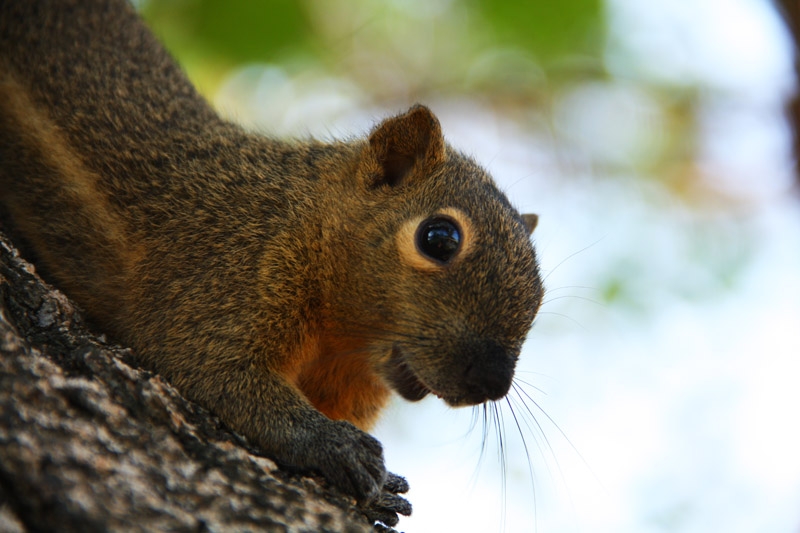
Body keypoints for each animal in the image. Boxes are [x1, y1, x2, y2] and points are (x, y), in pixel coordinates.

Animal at [0, 0, 544, 524]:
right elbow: (215, 368)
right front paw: (336, 445)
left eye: (539, 296)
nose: (492, 382)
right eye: (439, 238)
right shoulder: (224, 268)